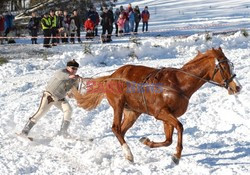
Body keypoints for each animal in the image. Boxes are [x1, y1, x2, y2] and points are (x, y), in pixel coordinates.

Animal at [73, 47, 240, 165]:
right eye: (224, 67)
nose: (237, 87)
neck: (179, 83)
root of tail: (112, 76)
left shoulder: (169, 116)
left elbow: (168, 140)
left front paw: (147, 142)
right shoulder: (161, 113)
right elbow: (180, 127)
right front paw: (176, 155)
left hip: (132, 112)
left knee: (122, 130)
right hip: (118, 104)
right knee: (116, 128)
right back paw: (129, 154)